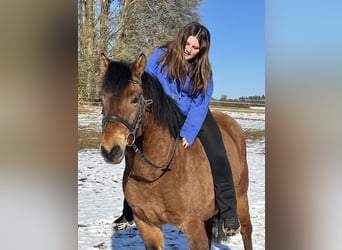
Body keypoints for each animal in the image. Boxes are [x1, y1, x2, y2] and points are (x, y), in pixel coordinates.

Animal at [97, 51, 252, 249]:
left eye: (134, 99)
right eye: (102, 99)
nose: (110, 150)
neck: (156, 174)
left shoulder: (193, 225)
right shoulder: (148, 226)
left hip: (241, 199)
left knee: (247, 232)